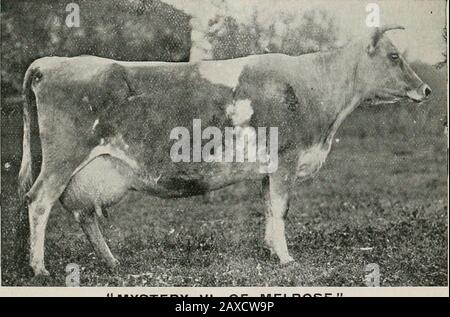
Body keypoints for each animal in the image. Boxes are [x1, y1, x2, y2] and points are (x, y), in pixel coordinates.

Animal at [15, 25, 430, 276]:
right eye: (394, 56)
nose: (425, 89)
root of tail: (52, 61)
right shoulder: (287, 158)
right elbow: (281, 209)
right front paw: (286, 258)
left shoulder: (269, 168)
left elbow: (269, 209)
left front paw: (270, 250)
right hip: (63, 159)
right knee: (39, 200)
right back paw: (39, 268)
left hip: (88, 169)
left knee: (81, 213)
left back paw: (110, 261)